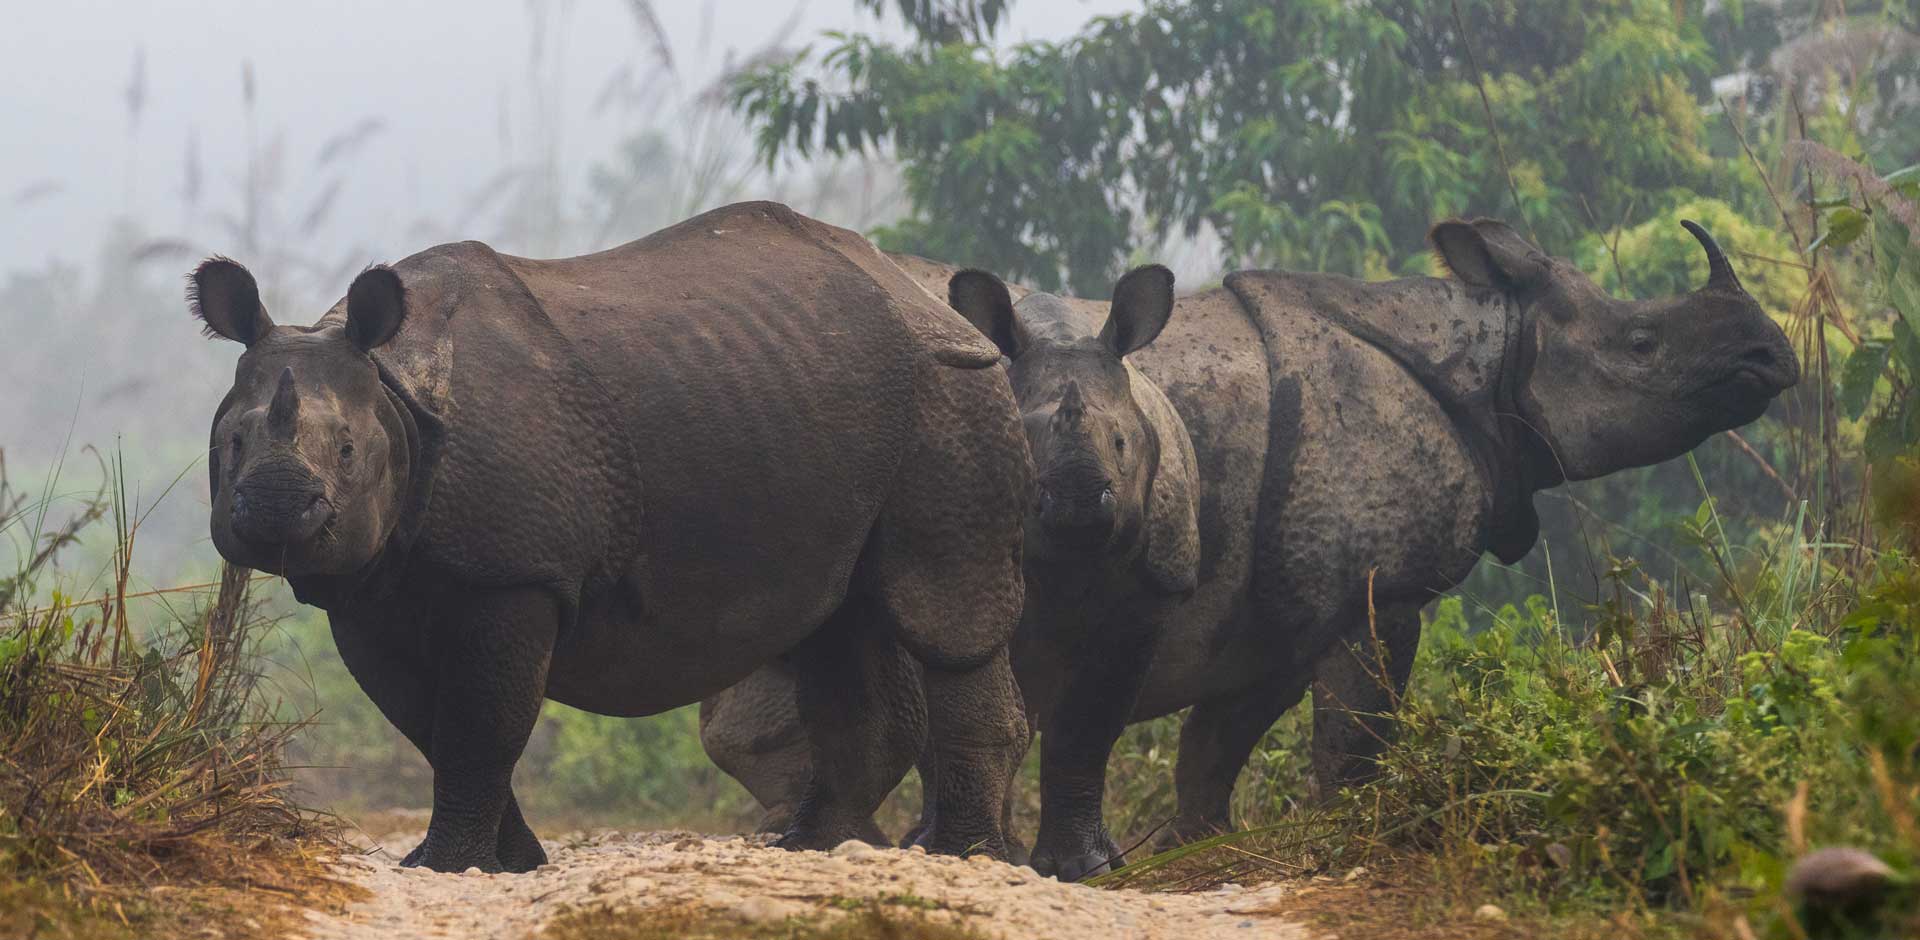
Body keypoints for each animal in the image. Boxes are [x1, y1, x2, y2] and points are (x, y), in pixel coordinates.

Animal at [189, 202, 1036, 870]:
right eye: (230, 444)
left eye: (346, 452)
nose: (273, 508)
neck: (395, 389)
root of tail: (920, 291)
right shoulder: (370, 590)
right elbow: (430, 723)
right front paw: (506, 860)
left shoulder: (516, 571)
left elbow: (479, 723)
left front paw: (453, 865)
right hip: (834, 394)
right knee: (845, 616)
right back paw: (817, 845)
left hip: (950, 383)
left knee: (944, 609)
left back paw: (963, 857)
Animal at [695, 216, 1797, 847]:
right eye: (1644, 345)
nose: (1773, 358)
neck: (1491, 345)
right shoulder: (1379, 589)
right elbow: (1357, 733)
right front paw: (1352, 829)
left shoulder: (1278, 603)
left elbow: (1218, 741)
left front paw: (1198, 845)